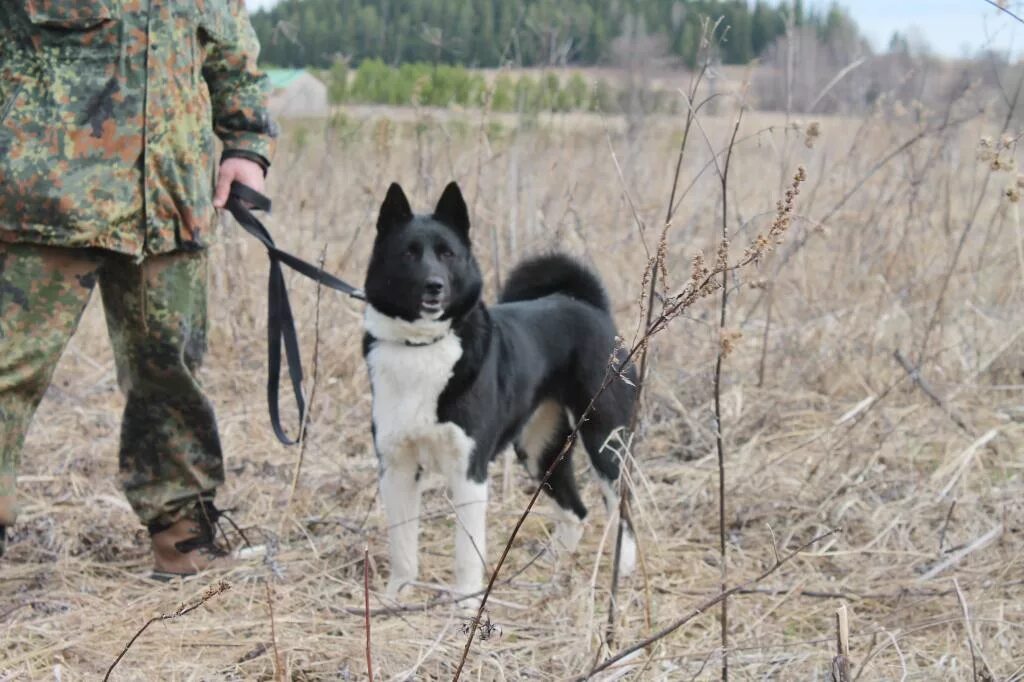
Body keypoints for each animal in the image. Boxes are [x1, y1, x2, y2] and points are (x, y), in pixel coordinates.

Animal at [360, 182, 634, 602]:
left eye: (447, 253)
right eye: (408, 253)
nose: (434, 286)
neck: (422, 346)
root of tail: (587, 305)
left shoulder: (469, 471)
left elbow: (466, 555)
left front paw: (465, 606)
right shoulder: (397, 468)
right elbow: (402, 548)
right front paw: (394, 598)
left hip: (605, 442)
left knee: (622, 509)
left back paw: (623, 570)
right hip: (539, 451)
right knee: (576, 512)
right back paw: (552, 575)